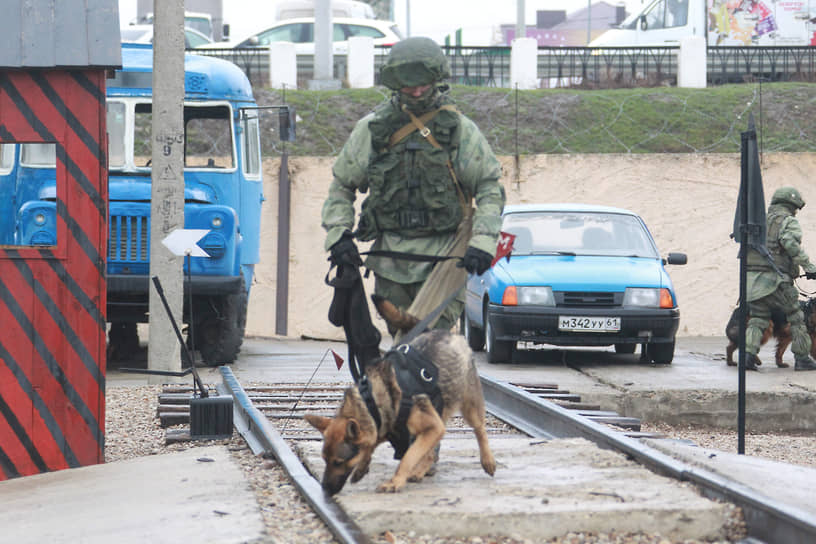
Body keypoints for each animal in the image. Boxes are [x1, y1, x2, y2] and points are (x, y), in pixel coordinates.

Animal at [304, 330, 498, 496]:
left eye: (338, 462)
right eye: (324, 459)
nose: (324, 490)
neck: (372, 404)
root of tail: (453, 334)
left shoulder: (433, 427)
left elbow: (408, 458)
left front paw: (394, 482)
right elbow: (372, 446)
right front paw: (362, 467)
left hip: (468, 407)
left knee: (479, 430)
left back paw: (487, 460)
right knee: (431, 451)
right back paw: (421, 470)